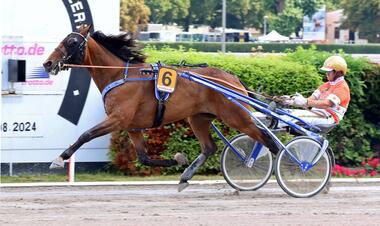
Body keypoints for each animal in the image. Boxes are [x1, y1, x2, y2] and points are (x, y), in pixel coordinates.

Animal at [43, 25, 278, 191]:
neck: (119, 75)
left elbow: (86, 135)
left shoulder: (117, 119)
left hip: (237, 116)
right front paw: (178, 159)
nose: (48, 63)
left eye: (72, 41)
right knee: (209, 147)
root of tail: (233, 79)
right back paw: (185, 176)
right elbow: (144, 158)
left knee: (268, 140)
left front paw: (59, 158)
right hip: (198, 118)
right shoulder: (132, 127)